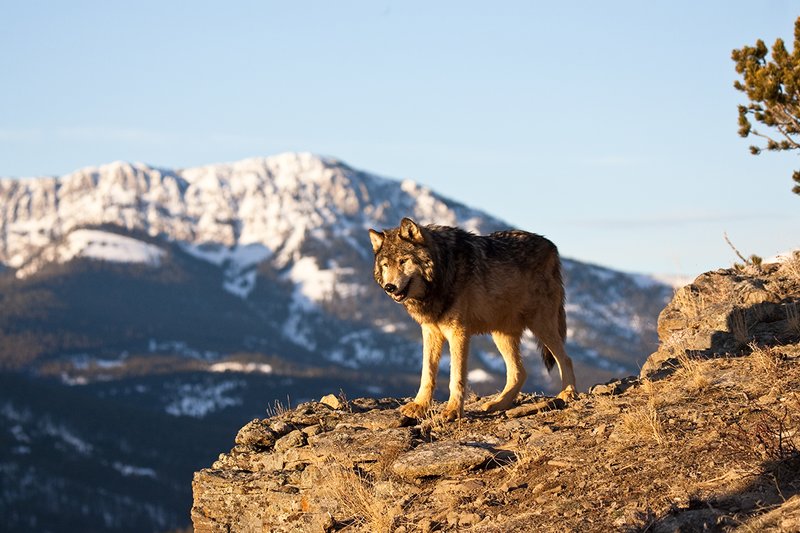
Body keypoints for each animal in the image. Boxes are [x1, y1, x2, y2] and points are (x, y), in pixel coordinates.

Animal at [369, 217, 576, 421]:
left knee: (565, 359)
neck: (443, 270)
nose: (389, 287)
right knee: (519, 372)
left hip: (540, 325)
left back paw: (567, 394)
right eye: (386, 265)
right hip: (501, 334)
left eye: (403, 261)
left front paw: (453, 411)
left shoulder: (458, 333)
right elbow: (427, 373)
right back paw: (498, 404)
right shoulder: (430, 331)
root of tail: (552, 246)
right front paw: (420, 406)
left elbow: (457, 376)